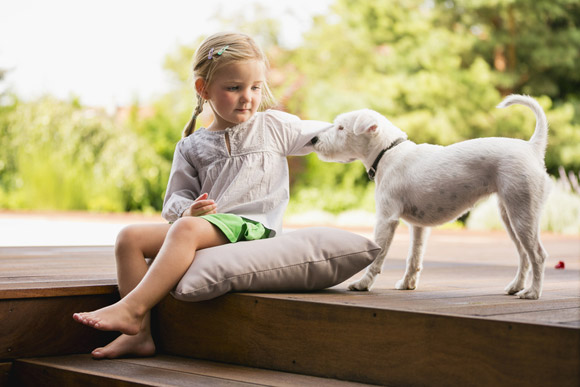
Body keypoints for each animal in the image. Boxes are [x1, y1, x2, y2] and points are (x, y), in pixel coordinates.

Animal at [314, 94, 552, 300]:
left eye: (341, 127)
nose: (314, 139)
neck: (388, 151)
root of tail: (532, 147)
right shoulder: (419, 226)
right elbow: (414, 257)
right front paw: (407, 284)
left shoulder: (386, 219)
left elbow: (377, 255)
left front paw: (363, 284)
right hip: (510, 215)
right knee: (524, 255)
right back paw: (516, 287)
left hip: (522, 213)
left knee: (538, 255)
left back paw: (533, 292)